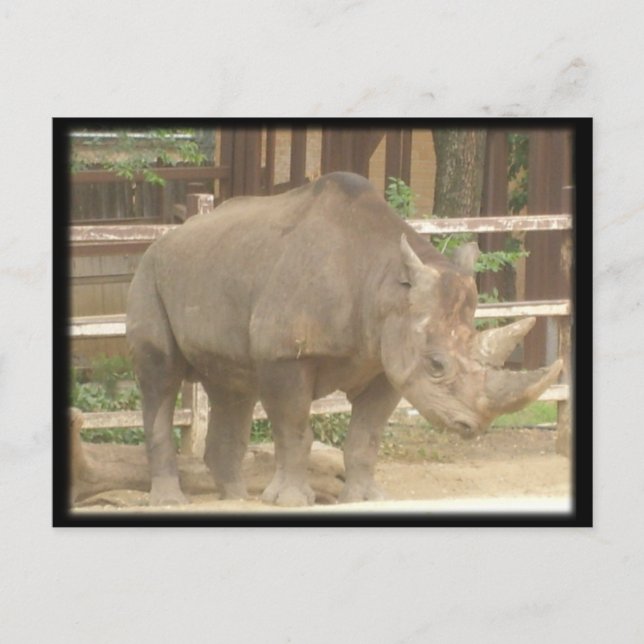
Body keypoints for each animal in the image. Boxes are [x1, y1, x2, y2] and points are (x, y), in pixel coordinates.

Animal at [126, 172, 562, 507]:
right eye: (436, 365)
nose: (473, 426)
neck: (384, 283)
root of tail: (165, 236)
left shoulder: (388, 361)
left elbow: (366, 437)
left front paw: (368, 498)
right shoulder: (284, 356)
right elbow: (294, 430)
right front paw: (289, 501)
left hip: (214, 269)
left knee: (232, 386)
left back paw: (235, 497)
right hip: (149, 272)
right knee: (161, 378)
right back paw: (172, 501)